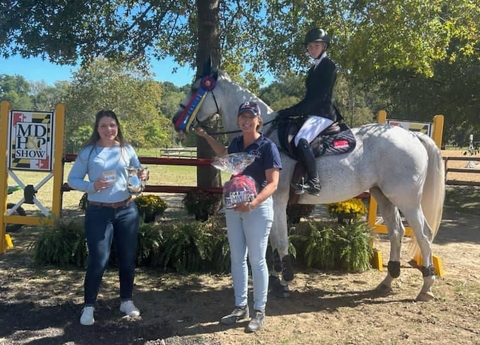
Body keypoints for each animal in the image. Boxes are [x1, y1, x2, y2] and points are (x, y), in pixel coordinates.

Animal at [172, 70, 446, 300]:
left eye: (196, 88)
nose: (176, 119)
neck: (265, 137)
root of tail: (411, 135)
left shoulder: (278, 200)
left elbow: (281, 241)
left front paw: (285, 281)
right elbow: (272, 240)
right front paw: (275, 279)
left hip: (406, 200)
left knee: (423, 234)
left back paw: (426, 286)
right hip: (384, 196)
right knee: (397, 232)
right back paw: (388, 281)